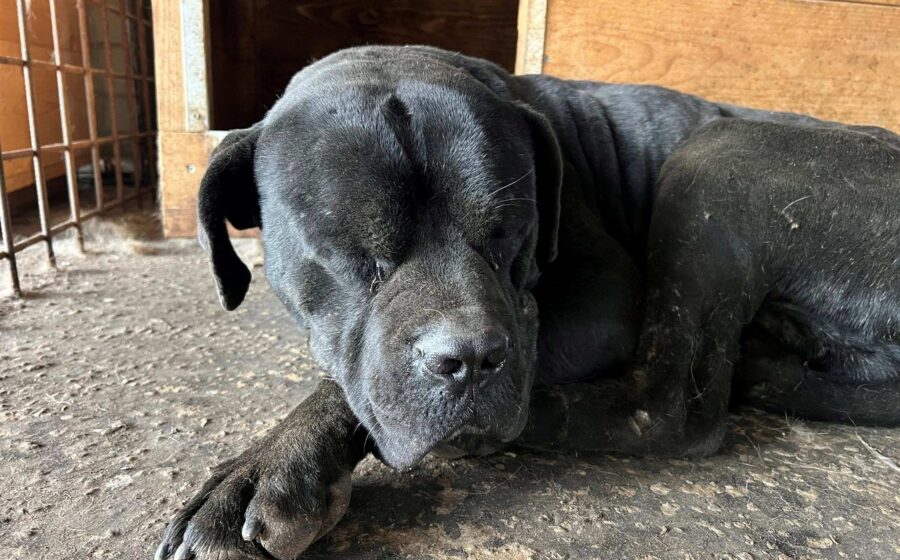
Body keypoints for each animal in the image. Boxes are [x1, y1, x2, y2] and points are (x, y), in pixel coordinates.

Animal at [156, 45, 900, 560]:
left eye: (510, 230)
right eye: (347, 252)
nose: (471, 358)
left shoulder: (604, 302)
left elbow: (347, 384)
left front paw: (268, 472)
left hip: (721, 154)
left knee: (670, 408)